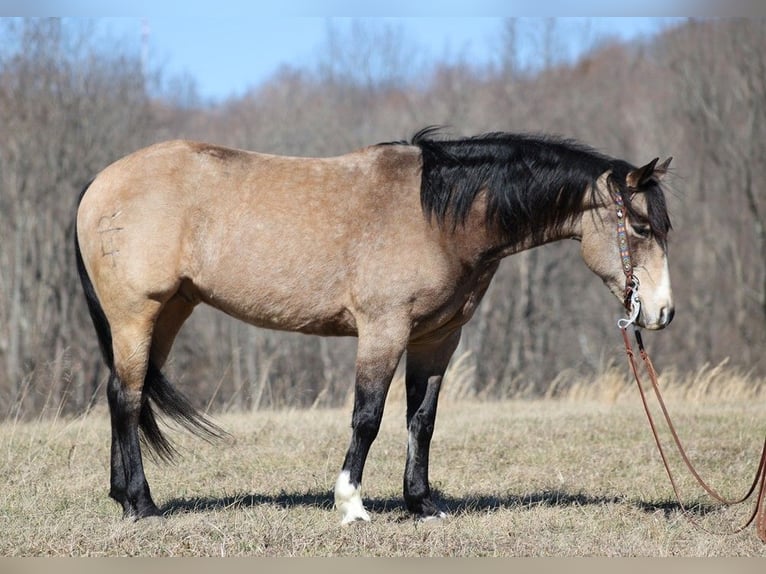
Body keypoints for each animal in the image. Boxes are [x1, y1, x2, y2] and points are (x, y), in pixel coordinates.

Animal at [73, 130, 672, 528]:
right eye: (642, 227)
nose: (661, 313)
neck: (439, 217)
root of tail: (99, 183)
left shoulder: (437, 338)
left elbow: (421, 420)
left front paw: (422, 503)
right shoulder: (385, 331)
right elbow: (368, 417)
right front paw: (351, 503)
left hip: (170, 312)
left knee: (119, 393)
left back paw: (123, 497)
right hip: (137, 316)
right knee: (127, 398)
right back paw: (143, 504)